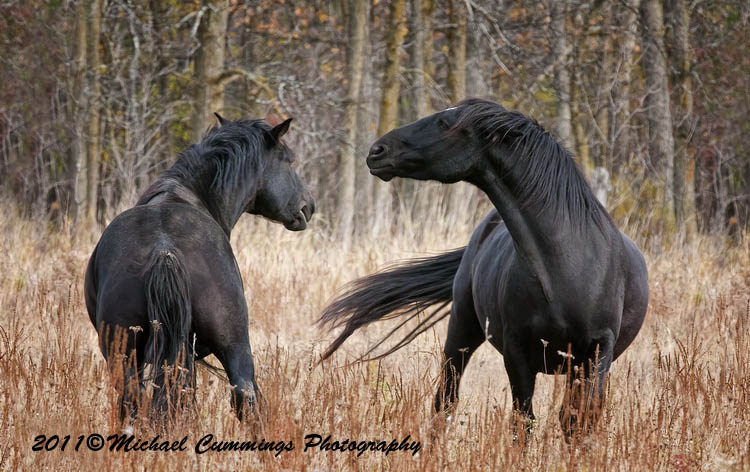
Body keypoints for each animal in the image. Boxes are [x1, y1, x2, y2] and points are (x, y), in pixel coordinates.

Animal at [85, 114, 314, 425]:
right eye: (289, 161)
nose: (308, 206)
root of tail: (164, 249)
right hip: (234, 346)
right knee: (246, 398)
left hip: (124, 354)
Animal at [318, 99, 648, 438]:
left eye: (444, 123)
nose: (377, 151)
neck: (569, 265)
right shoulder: (517, 354)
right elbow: (523, 422)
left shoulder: (596, 353)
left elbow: (578, 422)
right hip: (461, 330)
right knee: (445, 401)